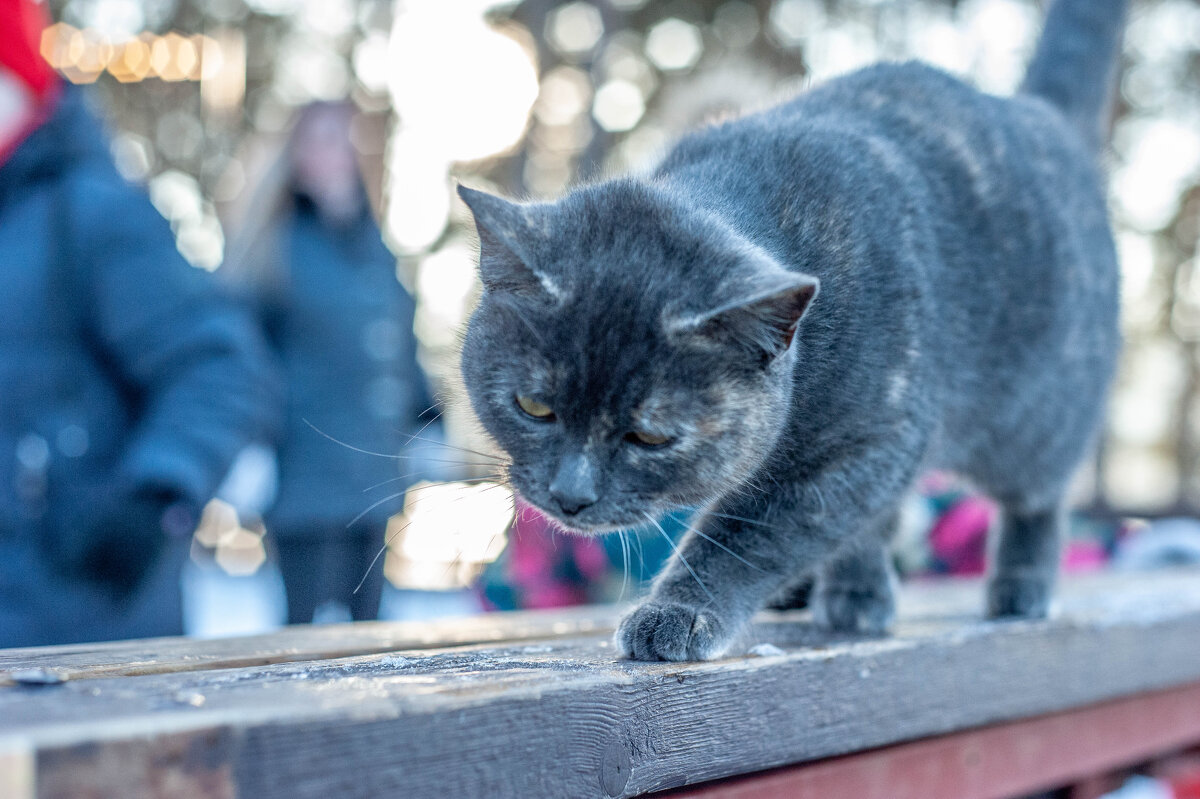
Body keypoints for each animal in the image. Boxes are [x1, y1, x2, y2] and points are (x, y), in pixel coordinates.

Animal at [456, 0, 1123, 657]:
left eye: (651, 437)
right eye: (533, 407)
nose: (570, 496)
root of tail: (1037, 113)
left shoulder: (866, 443)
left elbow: (752, 534)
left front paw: (678, 614)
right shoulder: (876, 453)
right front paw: (849, 592)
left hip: (1037, 423)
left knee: (1038, 499)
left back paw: (1018, 588)